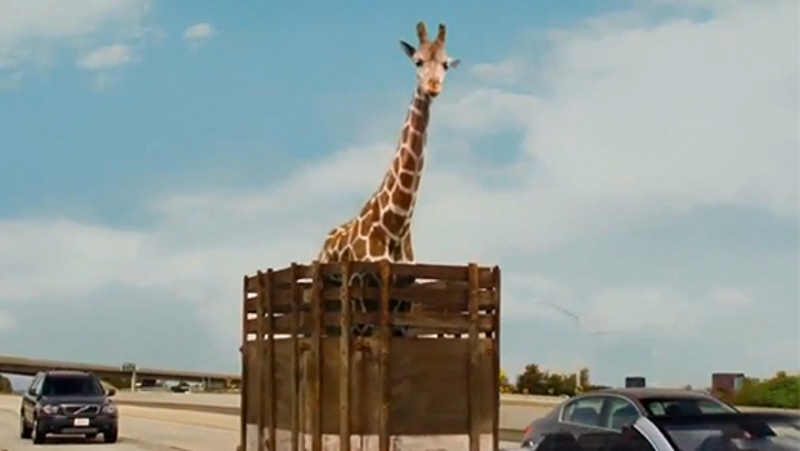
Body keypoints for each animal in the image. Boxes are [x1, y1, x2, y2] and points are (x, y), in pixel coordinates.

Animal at [315, 21, 460, 337]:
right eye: (417, 60)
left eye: (445, 63)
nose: (433, 87)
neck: (394, 224)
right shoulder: (366, 307)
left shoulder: (402, 309)